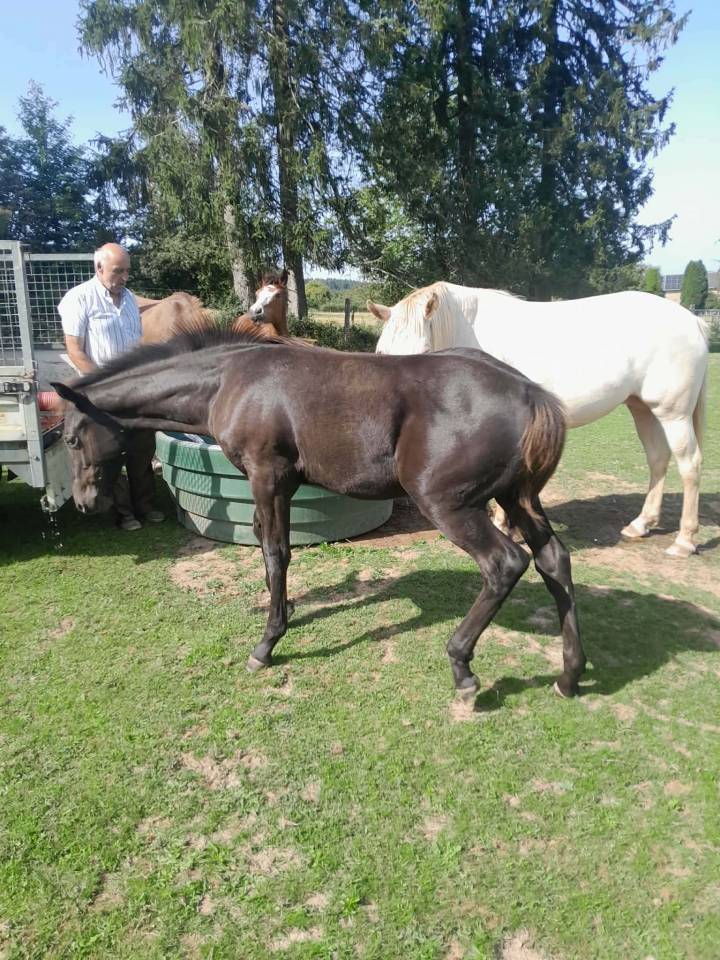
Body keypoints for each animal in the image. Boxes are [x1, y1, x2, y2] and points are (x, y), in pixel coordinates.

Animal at [51, 326, 586, 702]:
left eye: (74, 439)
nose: (84, 503)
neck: (230, 378)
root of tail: (528, 392)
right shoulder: (276, 484)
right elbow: (267, 544)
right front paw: (284, 611)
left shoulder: (267, 475)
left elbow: (275, 553)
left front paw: (266, 644)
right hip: (517, 498)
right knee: (554, 560)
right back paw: (568, 675)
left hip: (449, 505)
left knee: (505, 564)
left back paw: (462, 666)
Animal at [370, 283, 710, 559]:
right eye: (381, 353)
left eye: (424, 351)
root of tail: (692, 321)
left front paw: (503, 526)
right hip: (643, 408)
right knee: (657, 459)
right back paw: (641, 524)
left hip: (673, 413)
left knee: (689, 464)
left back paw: (684, 541)